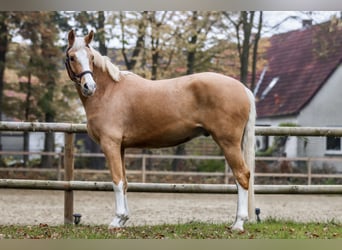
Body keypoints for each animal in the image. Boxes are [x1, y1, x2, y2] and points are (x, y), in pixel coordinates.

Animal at [65, 30, 255, 231]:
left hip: (228, 142)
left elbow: (117, 181)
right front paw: (124, 219)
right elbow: (124, 182)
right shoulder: (120, 147)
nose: (89, 87)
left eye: (91, 57)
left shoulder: (110, 144)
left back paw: (238, 224)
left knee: (242, 175)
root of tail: (243, 88)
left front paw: (117, 220)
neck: (109, 92)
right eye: (72, 57)